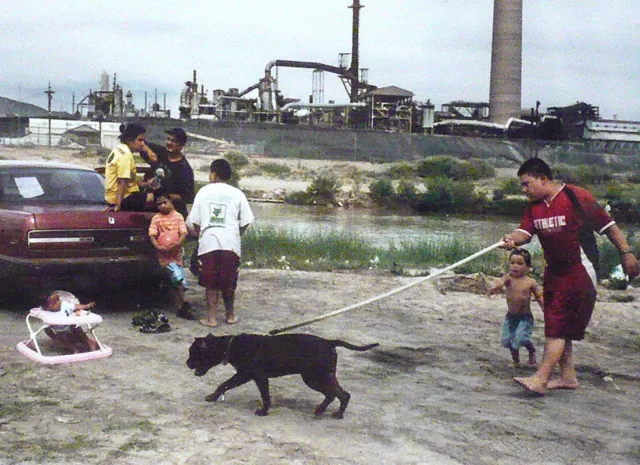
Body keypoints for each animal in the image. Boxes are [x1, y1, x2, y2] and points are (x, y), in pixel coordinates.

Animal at [185, 334, 378, 416]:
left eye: (194, 353)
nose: (187, 363)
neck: (230, 345)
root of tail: (329, 342)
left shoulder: (251, 375)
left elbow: (228, 385)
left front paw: (264, 411)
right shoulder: (249, 376)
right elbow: (225, 385)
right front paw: (213, 397)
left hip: (314, 378)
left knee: (335, 393)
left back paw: (333, 413)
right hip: (323, 376)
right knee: (341, 394)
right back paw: (327, 411)